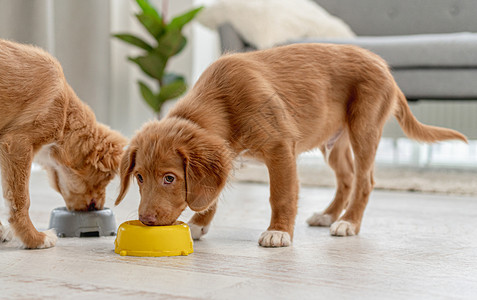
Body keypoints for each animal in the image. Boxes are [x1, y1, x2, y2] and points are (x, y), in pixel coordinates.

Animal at [0, 38, 127, 248]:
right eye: (106, 178)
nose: (99, 207)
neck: (66, 109)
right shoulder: (18, 143)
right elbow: (21, 200)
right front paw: (35, 239)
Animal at [114, 43, 464, 247]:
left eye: (169, 178)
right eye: (139, 177)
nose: (145, 220)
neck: (221, 102)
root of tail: (382, 64)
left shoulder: (280, 147)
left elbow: (281, 194)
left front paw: (278, 231)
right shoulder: (226, 156)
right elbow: (211, 193)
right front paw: (199, 225)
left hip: (365, 129)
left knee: (364, 180)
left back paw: (348, 222)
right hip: (332, 142)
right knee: (347, 178)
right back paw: (328, 215)